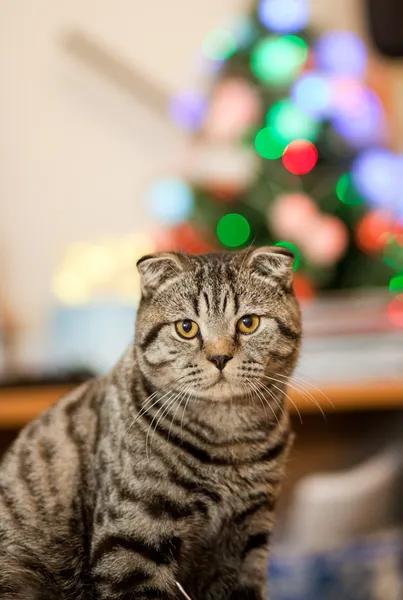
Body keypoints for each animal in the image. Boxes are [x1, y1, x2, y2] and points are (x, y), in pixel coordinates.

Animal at [0, 245, 300, 600]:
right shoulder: (132, 542)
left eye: (248, 323)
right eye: (186, 327)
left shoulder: (250, 538)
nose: (219, 357)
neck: (227, 434)